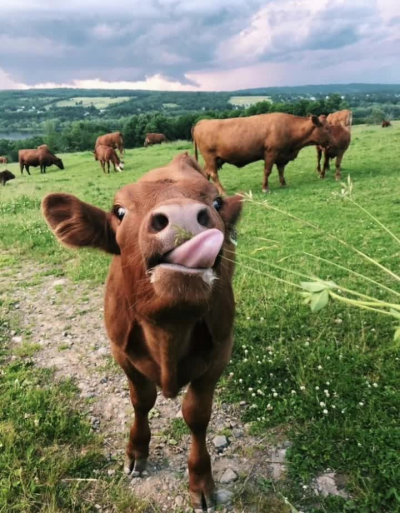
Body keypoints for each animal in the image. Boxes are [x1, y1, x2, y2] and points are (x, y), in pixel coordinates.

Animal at [43, 153, 244, 512]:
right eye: (119, 211)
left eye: (217, 202)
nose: (182, 217)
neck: (168, 332)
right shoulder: (121, 350)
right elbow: (141, 399)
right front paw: (136, 452)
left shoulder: (220, 350)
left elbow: (196, 415)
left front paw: (201, 481)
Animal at [192, 112, 332, 194]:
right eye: (327, 129)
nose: (333, 142)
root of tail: (203, 122)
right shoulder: (271, 153)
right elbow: (267, 171)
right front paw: (265, 188)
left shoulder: (281, 156)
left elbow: (281, 170)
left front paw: (283, 183)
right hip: (210, 157)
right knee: (213, 174)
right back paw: (222, 192)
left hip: (214, 159)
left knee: (205, 172)